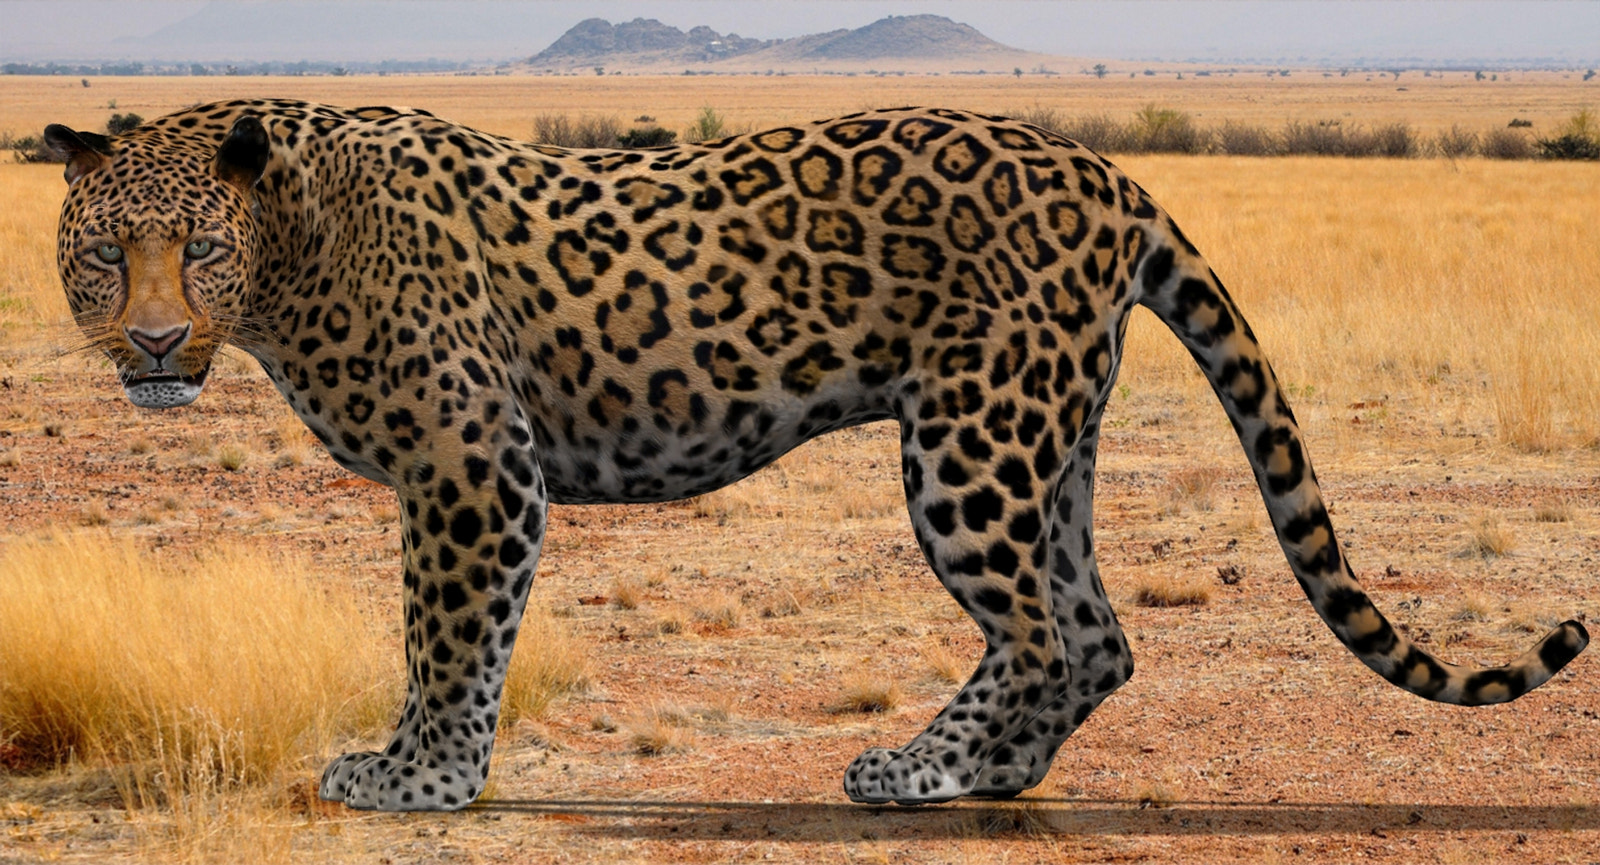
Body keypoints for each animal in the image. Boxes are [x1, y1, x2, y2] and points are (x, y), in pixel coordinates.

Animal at [45, 99, 1588, 811]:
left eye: (197, 248)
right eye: (102, 254)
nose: (157, 343)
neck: (291, 241)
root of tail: (1107, 172)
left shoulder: (473, 464)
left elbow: (446, 635)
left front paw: (419, 780)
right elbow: (442, 635)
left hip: (971, 443)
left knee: (1052, 631)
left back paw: (915, 771)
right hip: (1050, 434)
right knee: (1093, 627)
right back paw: (991, 774)